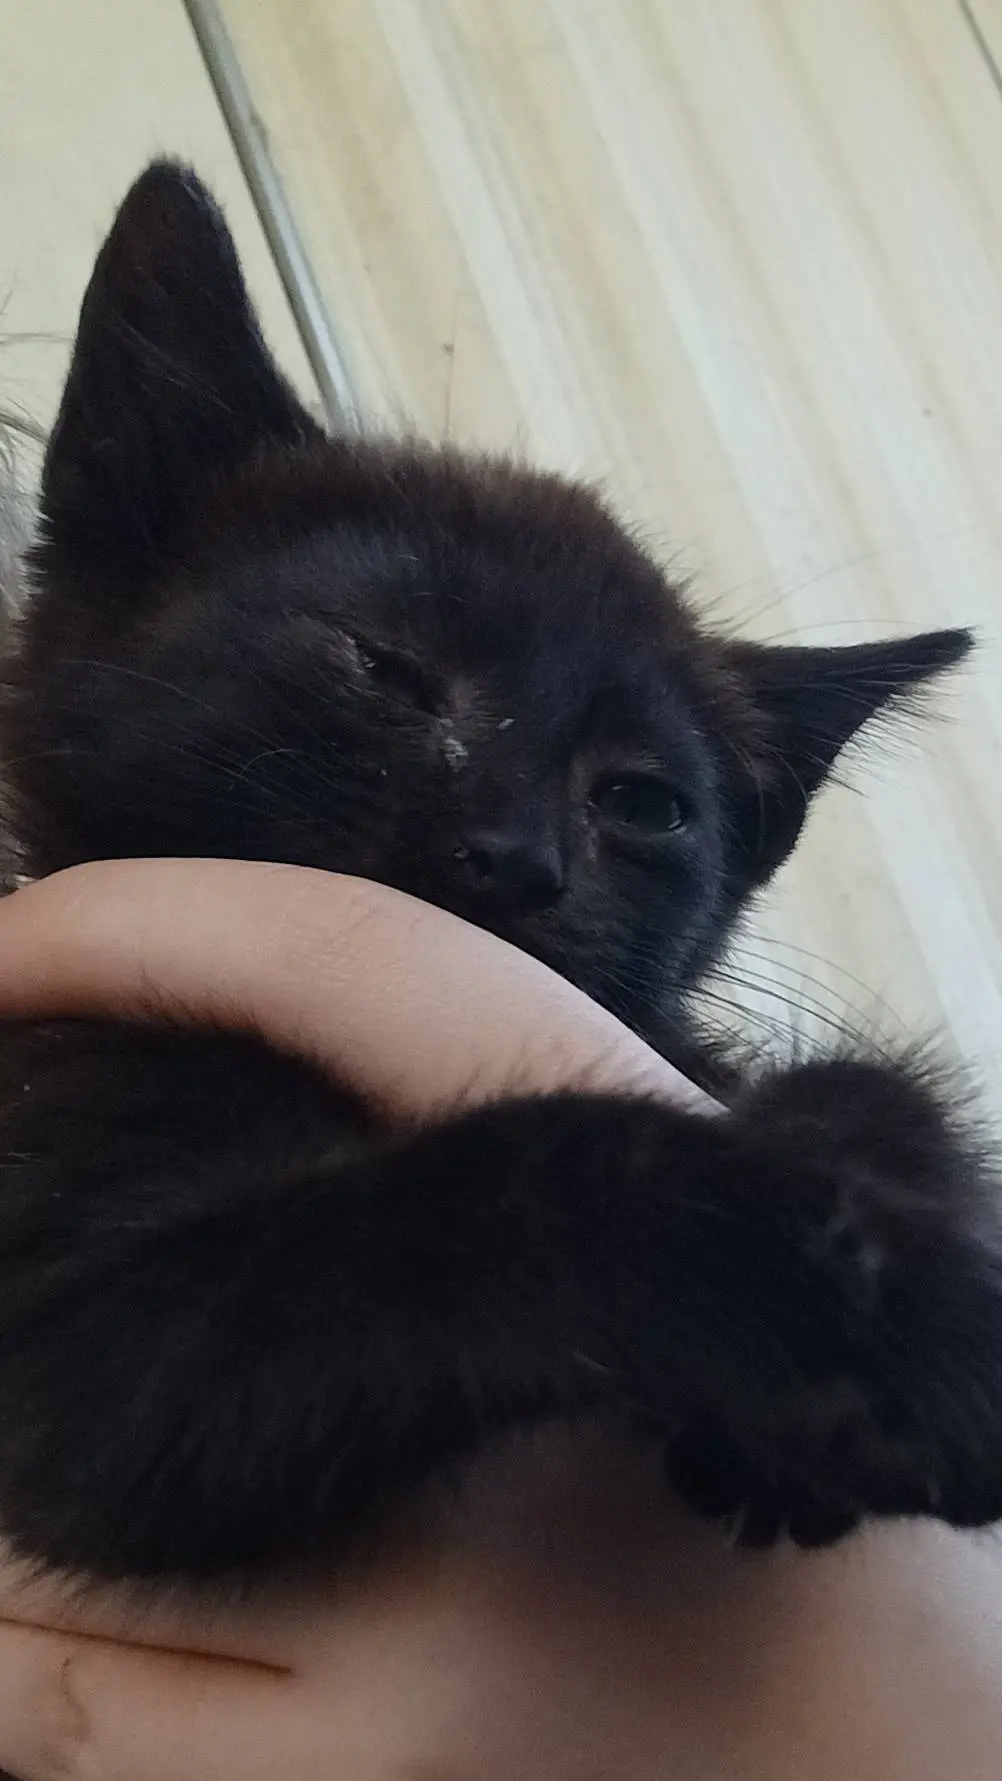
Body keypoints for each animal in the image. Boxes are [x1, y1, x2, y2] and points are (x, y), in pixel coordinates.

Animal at [0, 160, 998, 1584]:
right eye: (387, 667)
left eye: (641, 802)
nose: (519, 856)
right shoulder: (68, 1343)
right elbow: (503, 1179)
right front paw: (872, 1312)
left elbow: (876, 1085)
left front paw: (888, 1185)